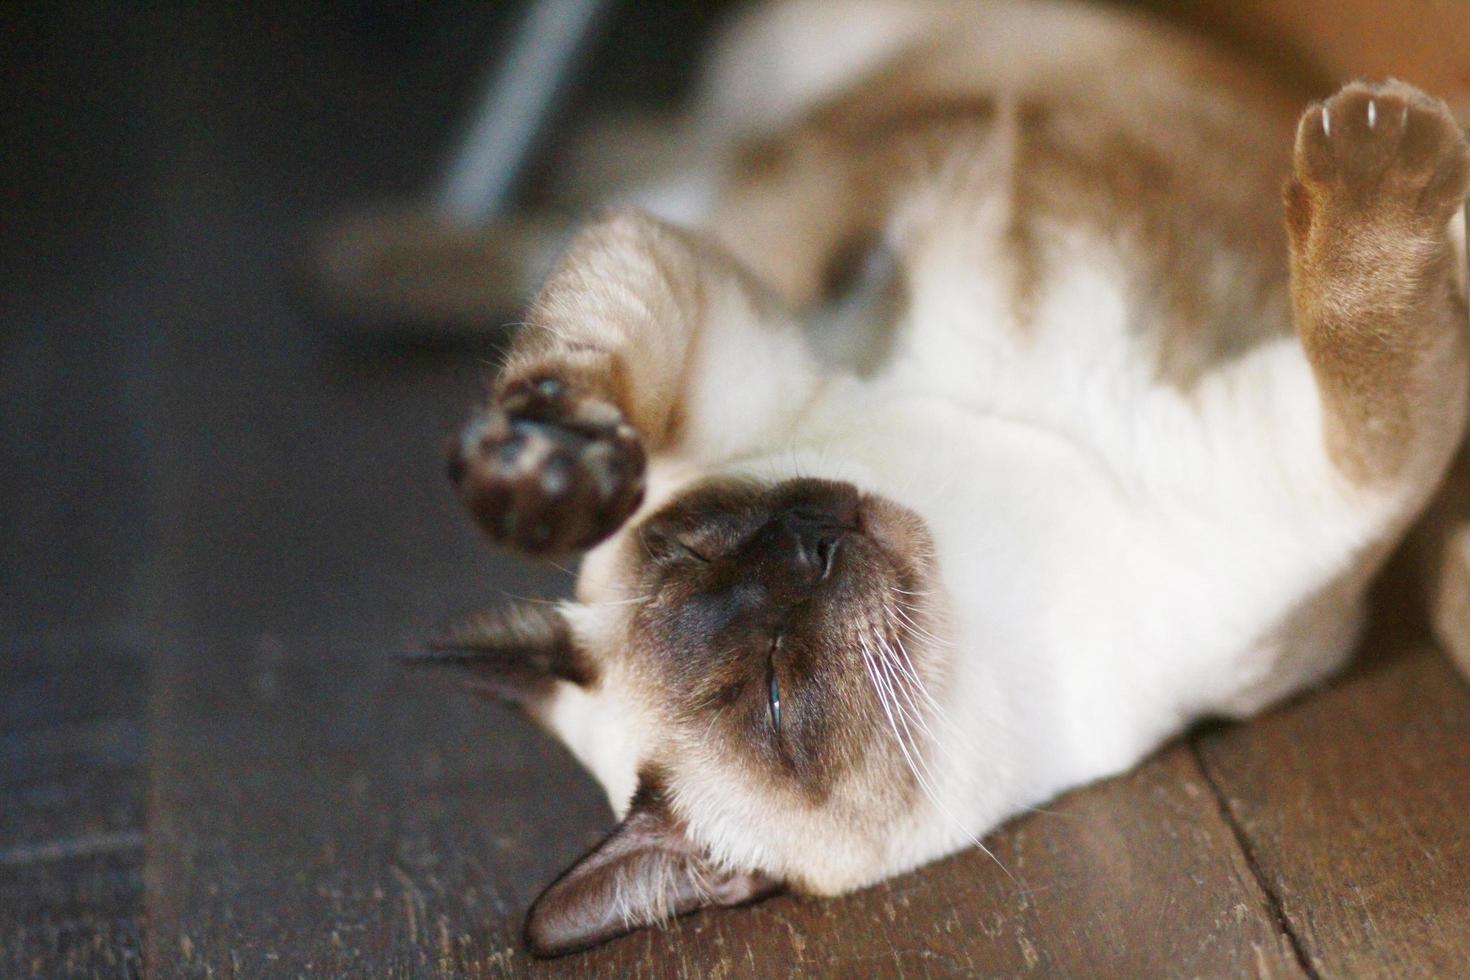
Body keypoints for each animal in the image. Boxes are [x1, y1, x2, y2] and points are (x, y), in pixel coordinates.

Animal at [411, 0, 1470, 957]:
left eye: (701, 542)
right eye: (776, 695)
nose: (810, 544)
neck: (986, 551)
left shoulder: (705, 292)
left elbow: (579, 363)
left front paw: (540, 474)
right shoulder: (1321, 472)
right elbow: (1364, 348)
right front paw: (1386, 153)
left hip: (763, 129)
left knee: (616, 186)